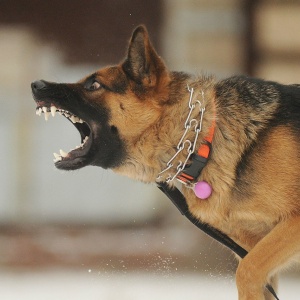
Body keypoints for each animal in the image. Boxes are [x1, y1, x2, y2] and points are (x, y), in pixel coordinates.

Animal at [31, 24, 298, 298]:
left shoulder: (284, 232)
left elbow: (247, 272)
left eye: (94, 85)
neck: (204, 142)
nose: (36, 84)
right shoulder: (253, 248)